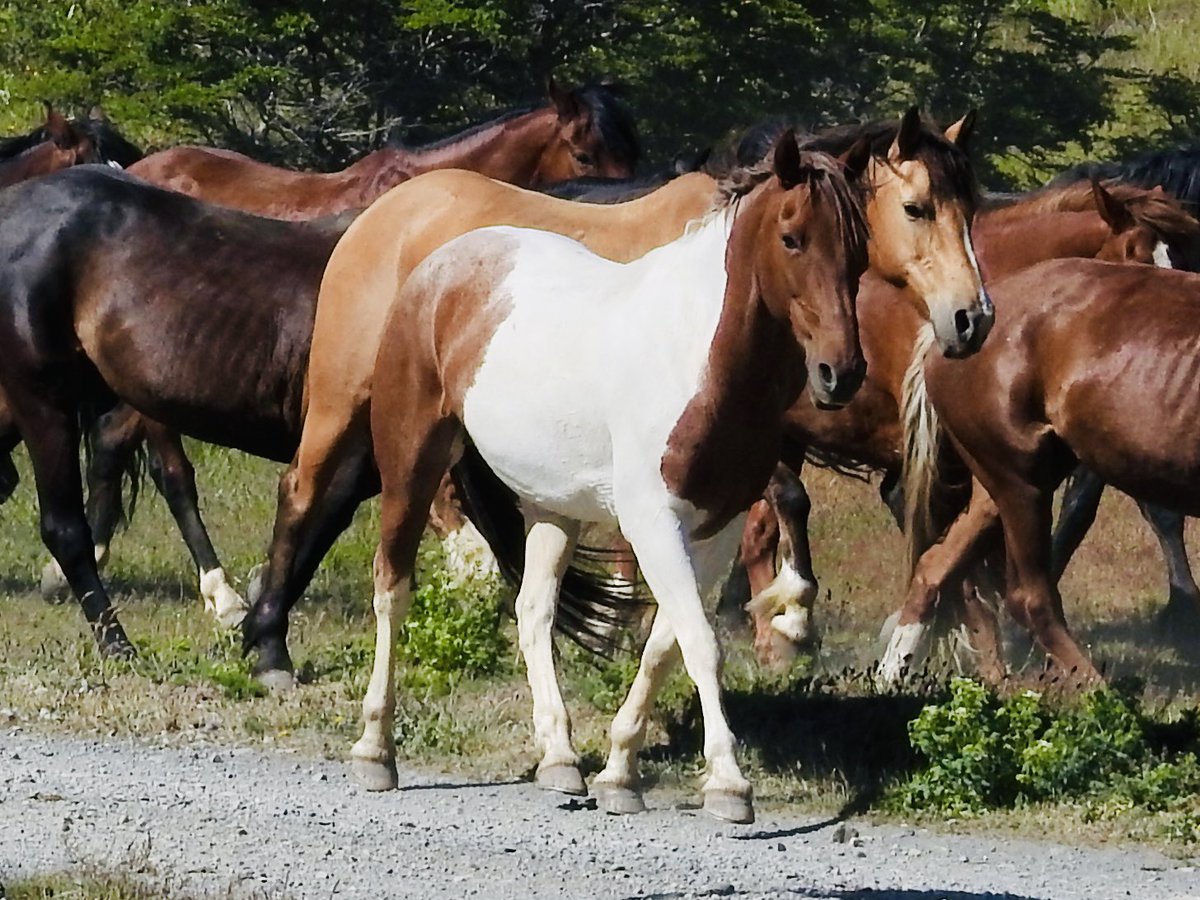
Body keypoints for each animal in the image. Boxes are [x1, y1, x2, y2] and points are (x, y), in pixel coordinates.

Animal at [242, 108, 992, 688]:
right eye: (917, 208)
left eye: (971, 209)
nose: (972, 318)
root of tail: (385, 211)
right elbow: (776, 507)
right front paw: (785, 617)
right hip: (345, 397)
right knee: (303, 490)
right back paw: (269, 646)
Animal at [354, 136, 869, 825]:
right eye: (792, 238)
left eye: (859, 248)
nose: (842, 373)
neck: (699, 359)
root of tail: (445, 264)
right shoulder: (654, 522)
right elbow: (700, 643)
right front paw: (729, 785)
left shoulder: (715, 528)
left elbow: (665, 646)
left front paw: (620, 771)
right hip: (411, 463)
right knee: (393, 586)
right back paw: (375, 750)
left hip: (551, 505)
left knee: (534, 610)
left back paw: (560, 760)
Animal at [731, 181, 1200, 672]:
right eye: (1134, 256)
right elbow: (967, 572)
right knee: (786, 505)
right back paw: (790, 626)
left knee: (760, 531)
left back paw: (775, 642)